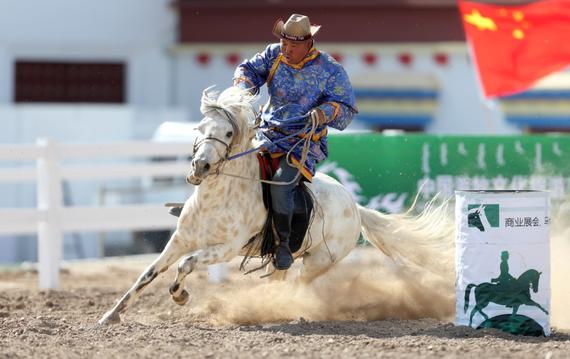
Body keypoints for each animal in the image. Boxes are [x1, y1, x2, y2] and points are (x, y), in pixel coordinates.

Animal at [98, 86, 452, 326]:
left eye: (229, 131)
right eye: (200, 128)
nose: (200, 166)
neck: (219, 199)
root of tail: (354, 206)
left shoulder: (224, 249)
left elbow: (186, 265)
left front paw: (180, 295)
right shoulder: (179, 240)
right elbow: (147, 274)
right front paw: (111, 315)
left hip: (318, 261)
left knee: (296, 286)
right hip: (286, 257)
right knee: (279, 280)